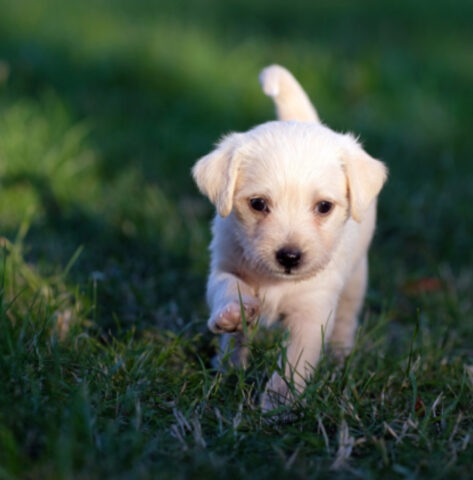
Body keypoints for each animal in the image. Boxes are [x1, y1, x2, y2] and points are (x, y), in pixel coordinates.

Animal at [190, 63, 386, 410]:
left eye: (324, 207)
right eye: (258, 204)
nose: (290, 257)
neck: (276, 282)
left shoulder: (312, 313)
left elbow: (294, 362)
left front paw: (277, 405)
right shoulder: (224, 265)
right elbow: (228, 287)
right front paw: (232, 313)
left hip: (356, 280)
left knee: (347, 319)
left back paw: (340, 357)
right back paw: (227, 366)